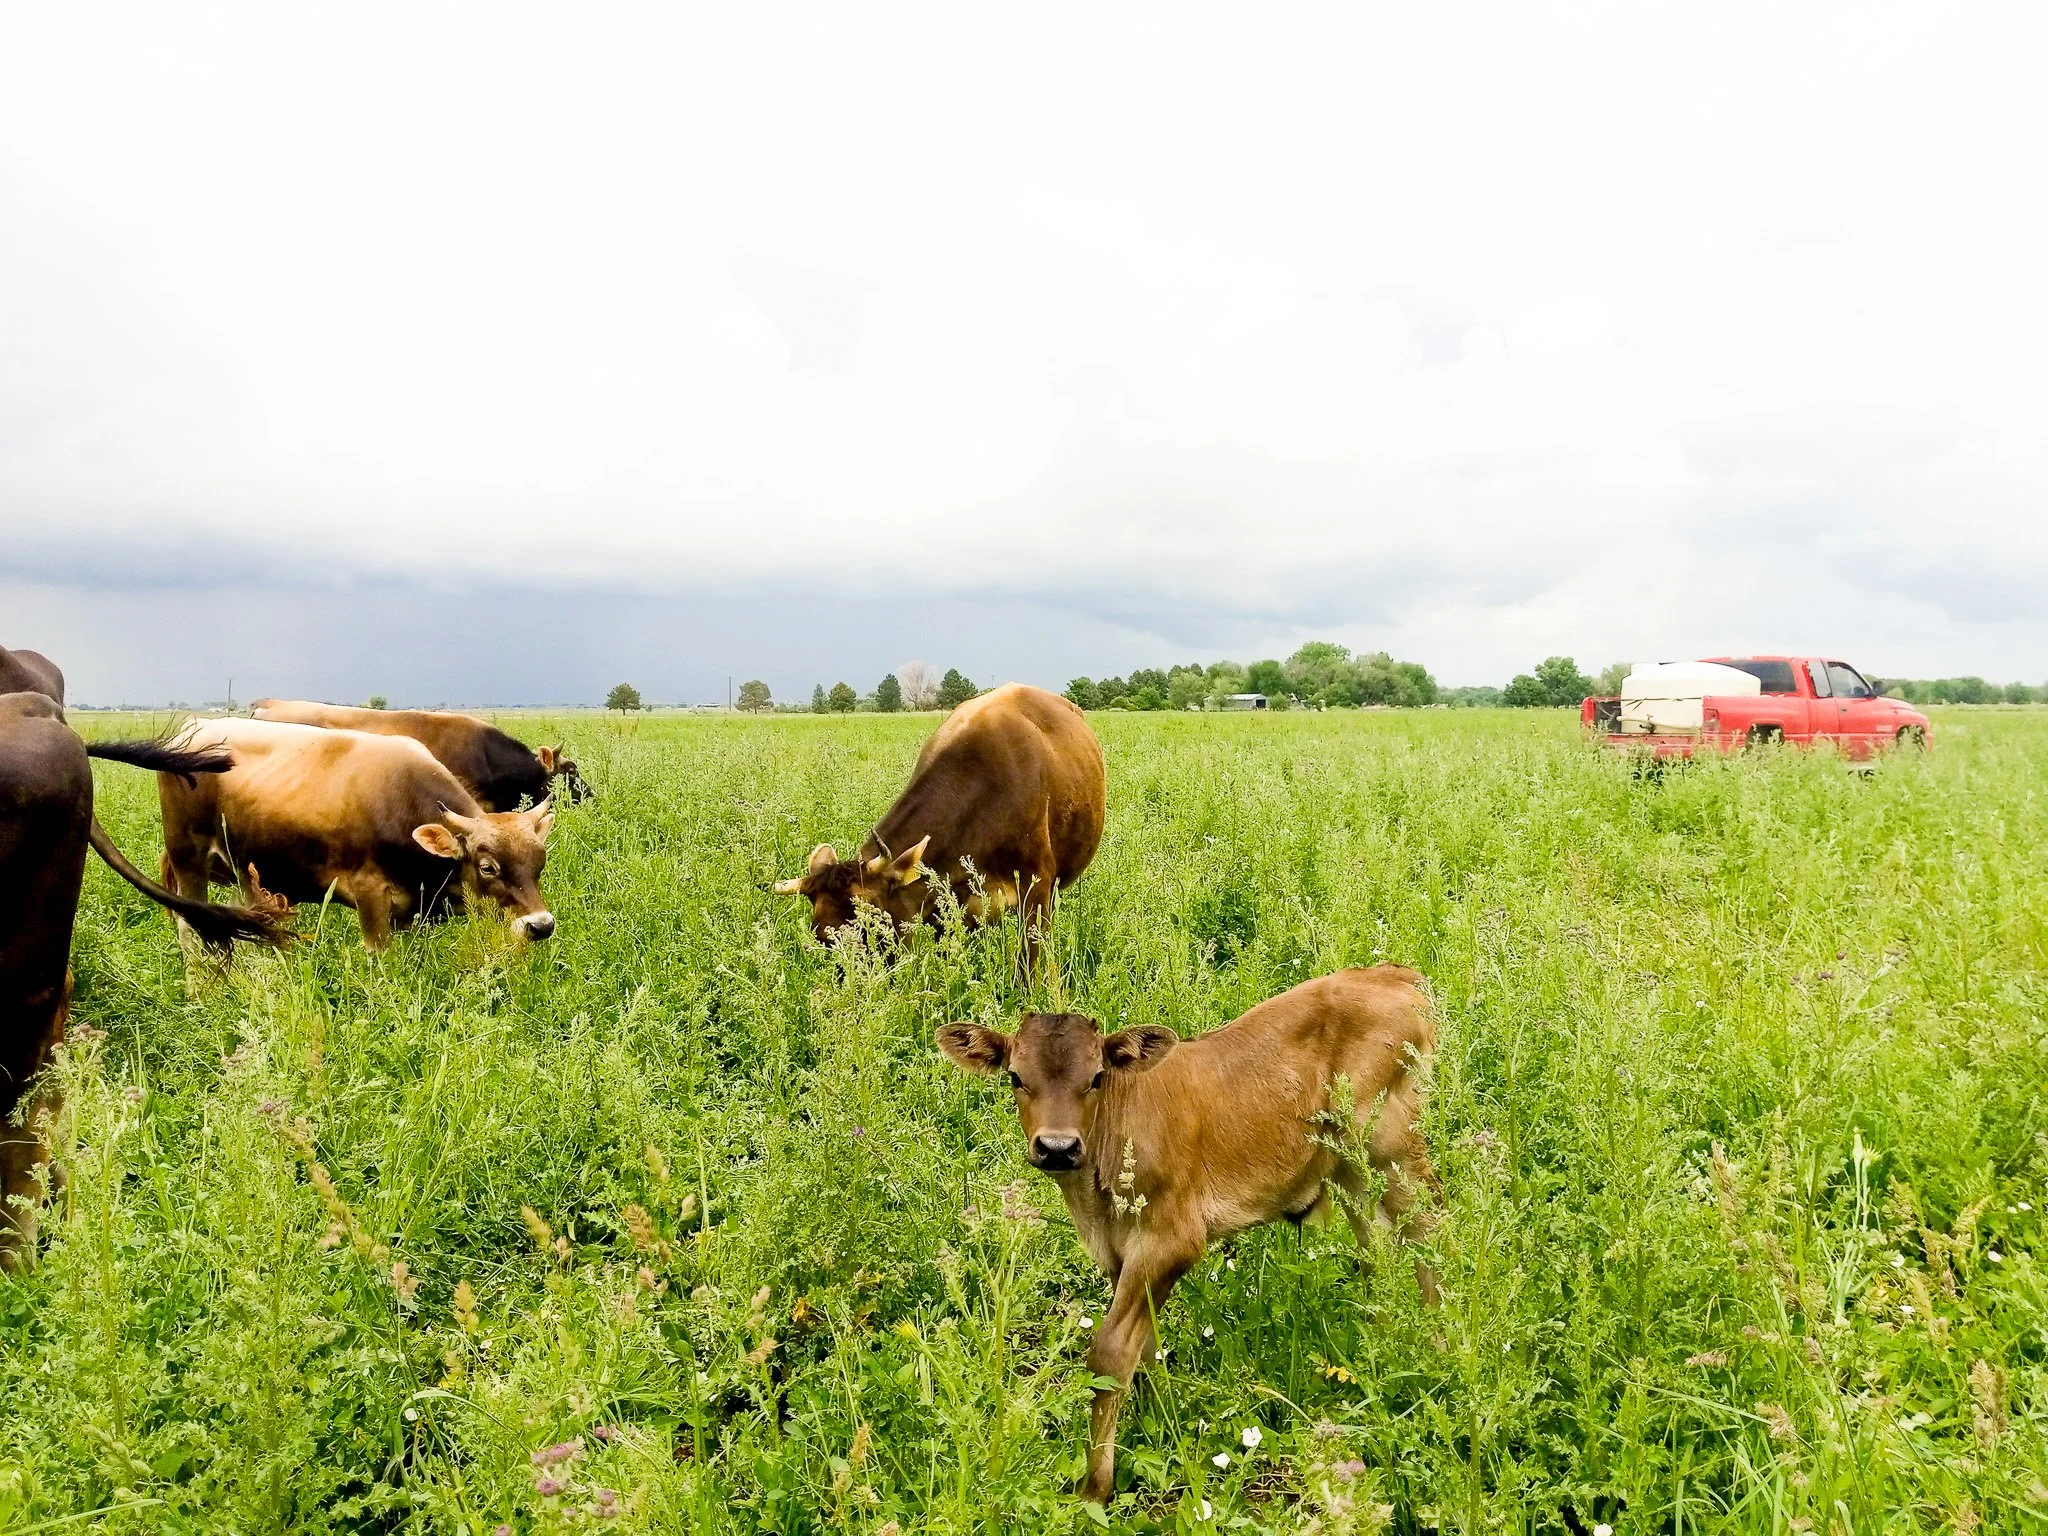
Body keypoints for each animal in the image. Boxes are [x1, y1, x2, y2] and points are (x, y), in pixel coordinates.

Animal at [159, 718, 557, 951]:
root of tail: (195, 726)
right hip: (188, 859)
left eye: (539, 864)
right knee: (190, 930)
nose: (541, 926)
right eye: (488, 867)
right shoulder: (370, 897)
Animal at [937, 967, 1440, 1504]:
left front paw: (1095, 1488)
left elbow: (1110, 1352)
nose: (1057, 1147)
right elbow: (1146, 1347)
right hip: (1350, 1169)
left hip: (1391, 1145)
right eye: (1015, 1077)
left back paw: (1437, 1340)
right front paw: (1162, 1423)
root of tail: (1395, 974)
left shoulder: (1170, 1241)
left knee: (1431, 1231)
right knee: (1378, 1251)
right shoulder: (1121, 1255)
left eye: (1096, 1077)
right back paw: (1383, 1341)